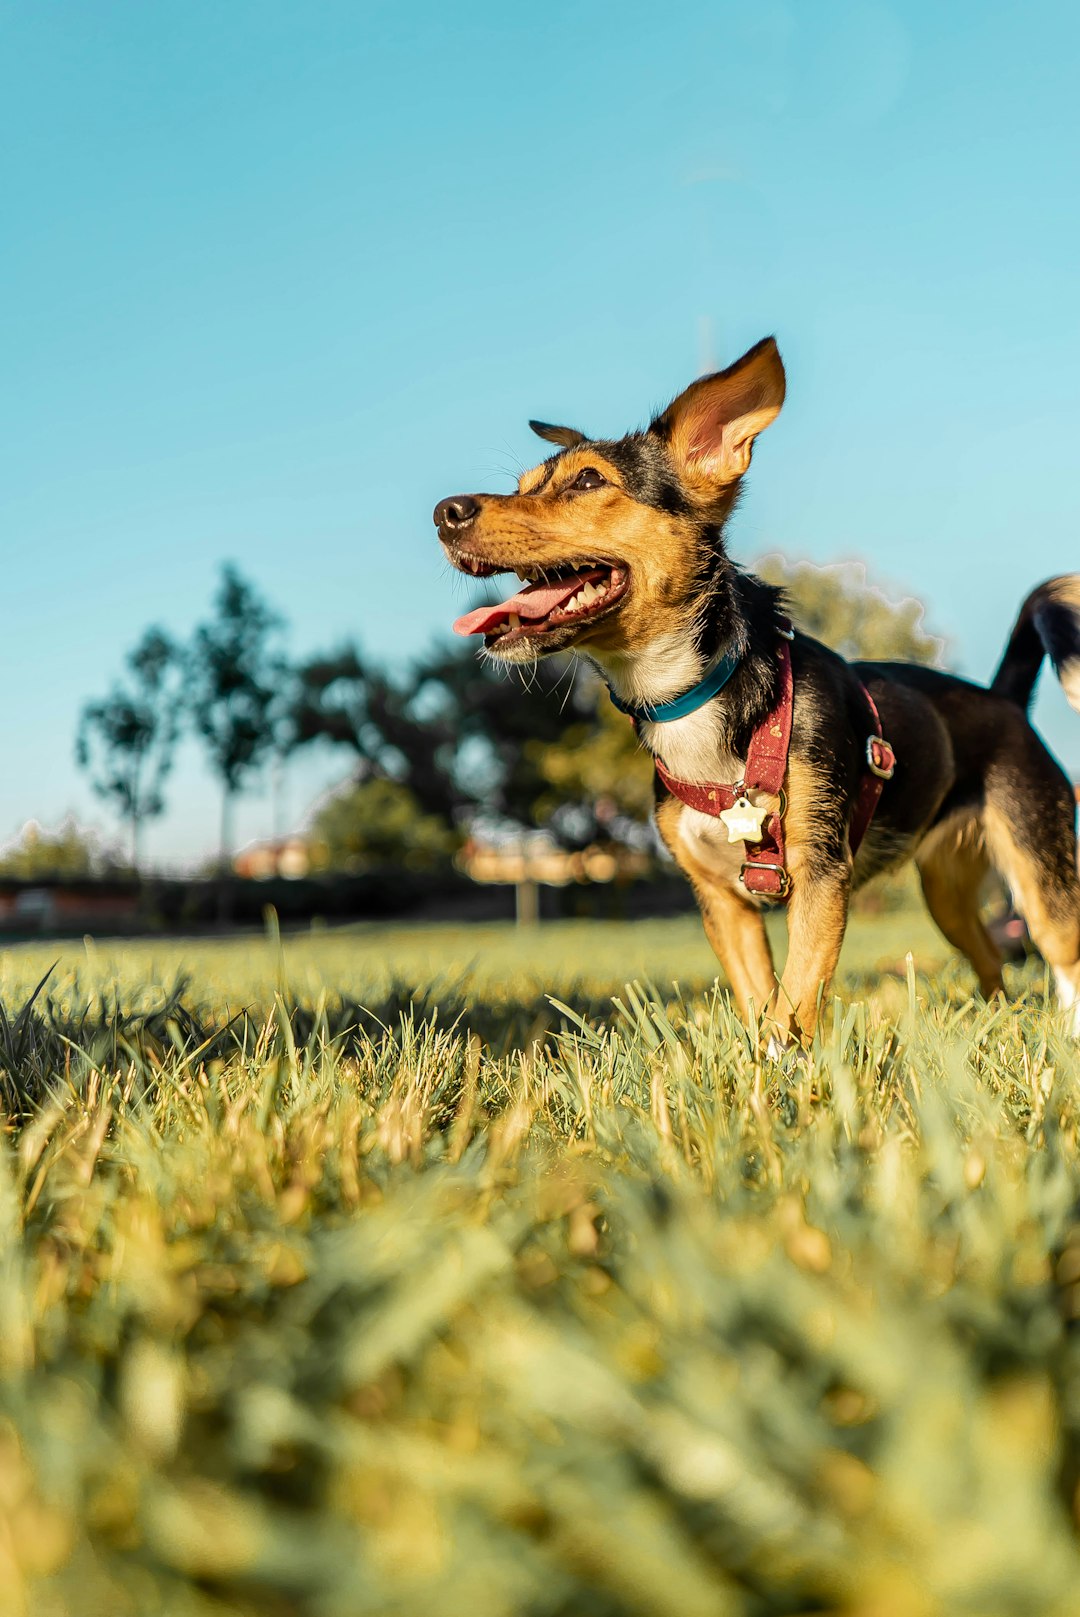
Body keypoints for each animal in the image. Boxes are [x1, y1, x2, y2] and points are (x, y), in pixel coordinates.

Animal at [433, 342, 1080, 1047]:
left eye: (587, 482)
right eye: (522, 485)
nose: (446, 513)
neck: (690, 697)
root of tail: (1004, 699)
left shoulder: (822, 879)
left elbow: (791, 1004)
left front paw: (785, 1064)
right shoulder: (723, 903)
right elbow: (759, 1001)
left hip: (1040, 870)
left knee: (1062, 954)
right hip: (947, 890)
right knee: (991, 961)